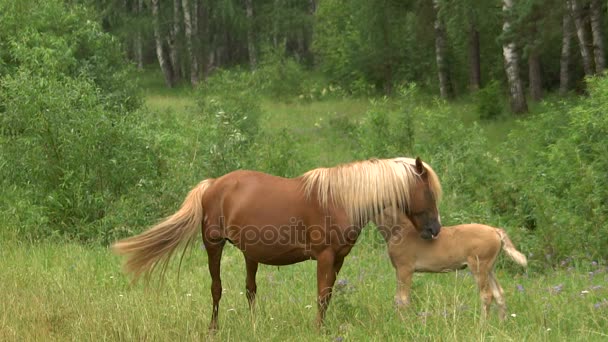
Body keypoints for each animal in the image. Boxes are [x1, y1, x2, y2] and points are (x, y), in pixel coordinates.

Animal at [111, 156, 442, 330]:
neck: (341, 199)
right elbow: (321, 295)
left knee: (250, 289)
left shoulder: (339, 258)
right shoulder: (325, 257)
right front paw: (317, 330)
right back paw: (214, 328)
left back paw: (254, 326)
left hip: (250, 253)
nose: (435, 230)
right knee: (216, 288)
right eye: (428, 192)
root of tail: (213, 185)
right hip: (214, 245)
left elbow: (328, 295)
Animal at [380, 207, 528, 322]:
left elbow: (402, 299)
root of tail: (496, 231)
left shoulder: (405, 268)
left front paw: (402, 323)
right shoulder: (401, 269)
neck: (400, 230)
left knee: (487, 295)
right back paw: (501, 324)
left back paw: (482, 327)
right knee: (499, 293)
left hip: (479, 266)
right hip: (489, 268)